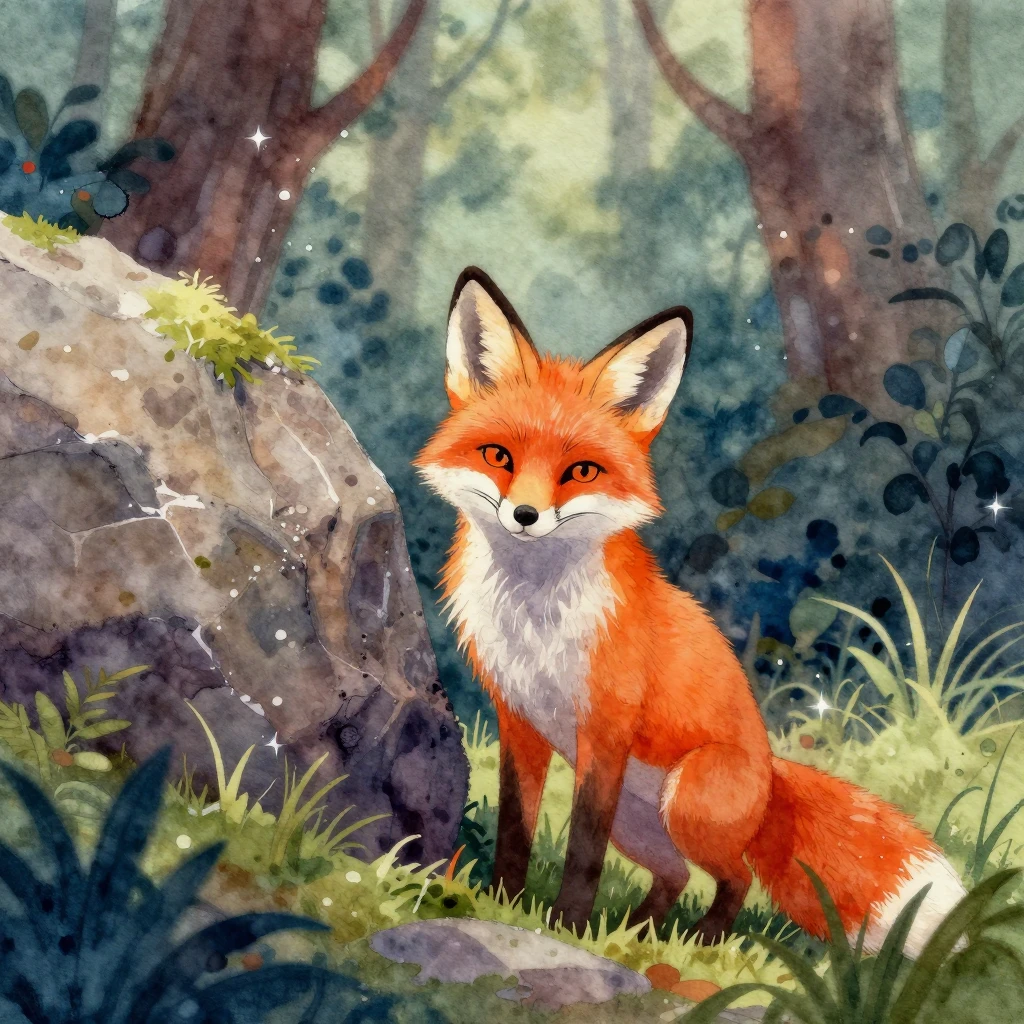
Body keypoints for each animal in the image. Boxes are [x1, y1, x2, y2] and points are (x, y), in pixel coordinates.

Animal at [415, 267, 967, 954]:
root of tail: (770, 770)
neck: (534, 617)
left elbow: (583, 852)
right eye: (498, 456)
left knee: (736, 878)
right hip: (643, 826)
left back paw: (698, 941)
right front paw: (503, 906)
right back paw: (641, 934)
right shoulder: (517, 720)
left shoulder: (607, 731)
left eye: (581, 470)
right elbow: (517, 828)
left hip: (684, 802)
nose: (525, 515)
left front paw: (565, 926)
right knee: (677, 876)